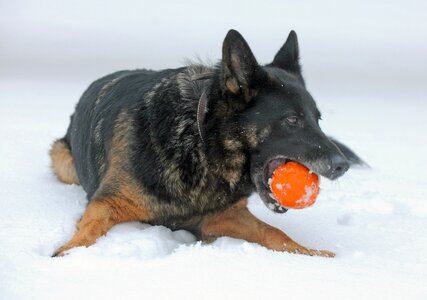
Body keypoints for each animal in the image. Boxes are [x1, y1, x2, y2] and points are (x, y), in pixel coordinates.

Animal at [51, 29, 364, 256]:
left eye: (318, 119)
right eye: (292, 120)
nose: (342, 166)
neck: (200, 144)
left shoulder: (222, 217)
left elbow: (275, 233)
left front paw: (314, 254)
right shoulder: (107, 203)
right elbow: (89, 228)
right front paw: (69, 252)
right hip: (62, 161)